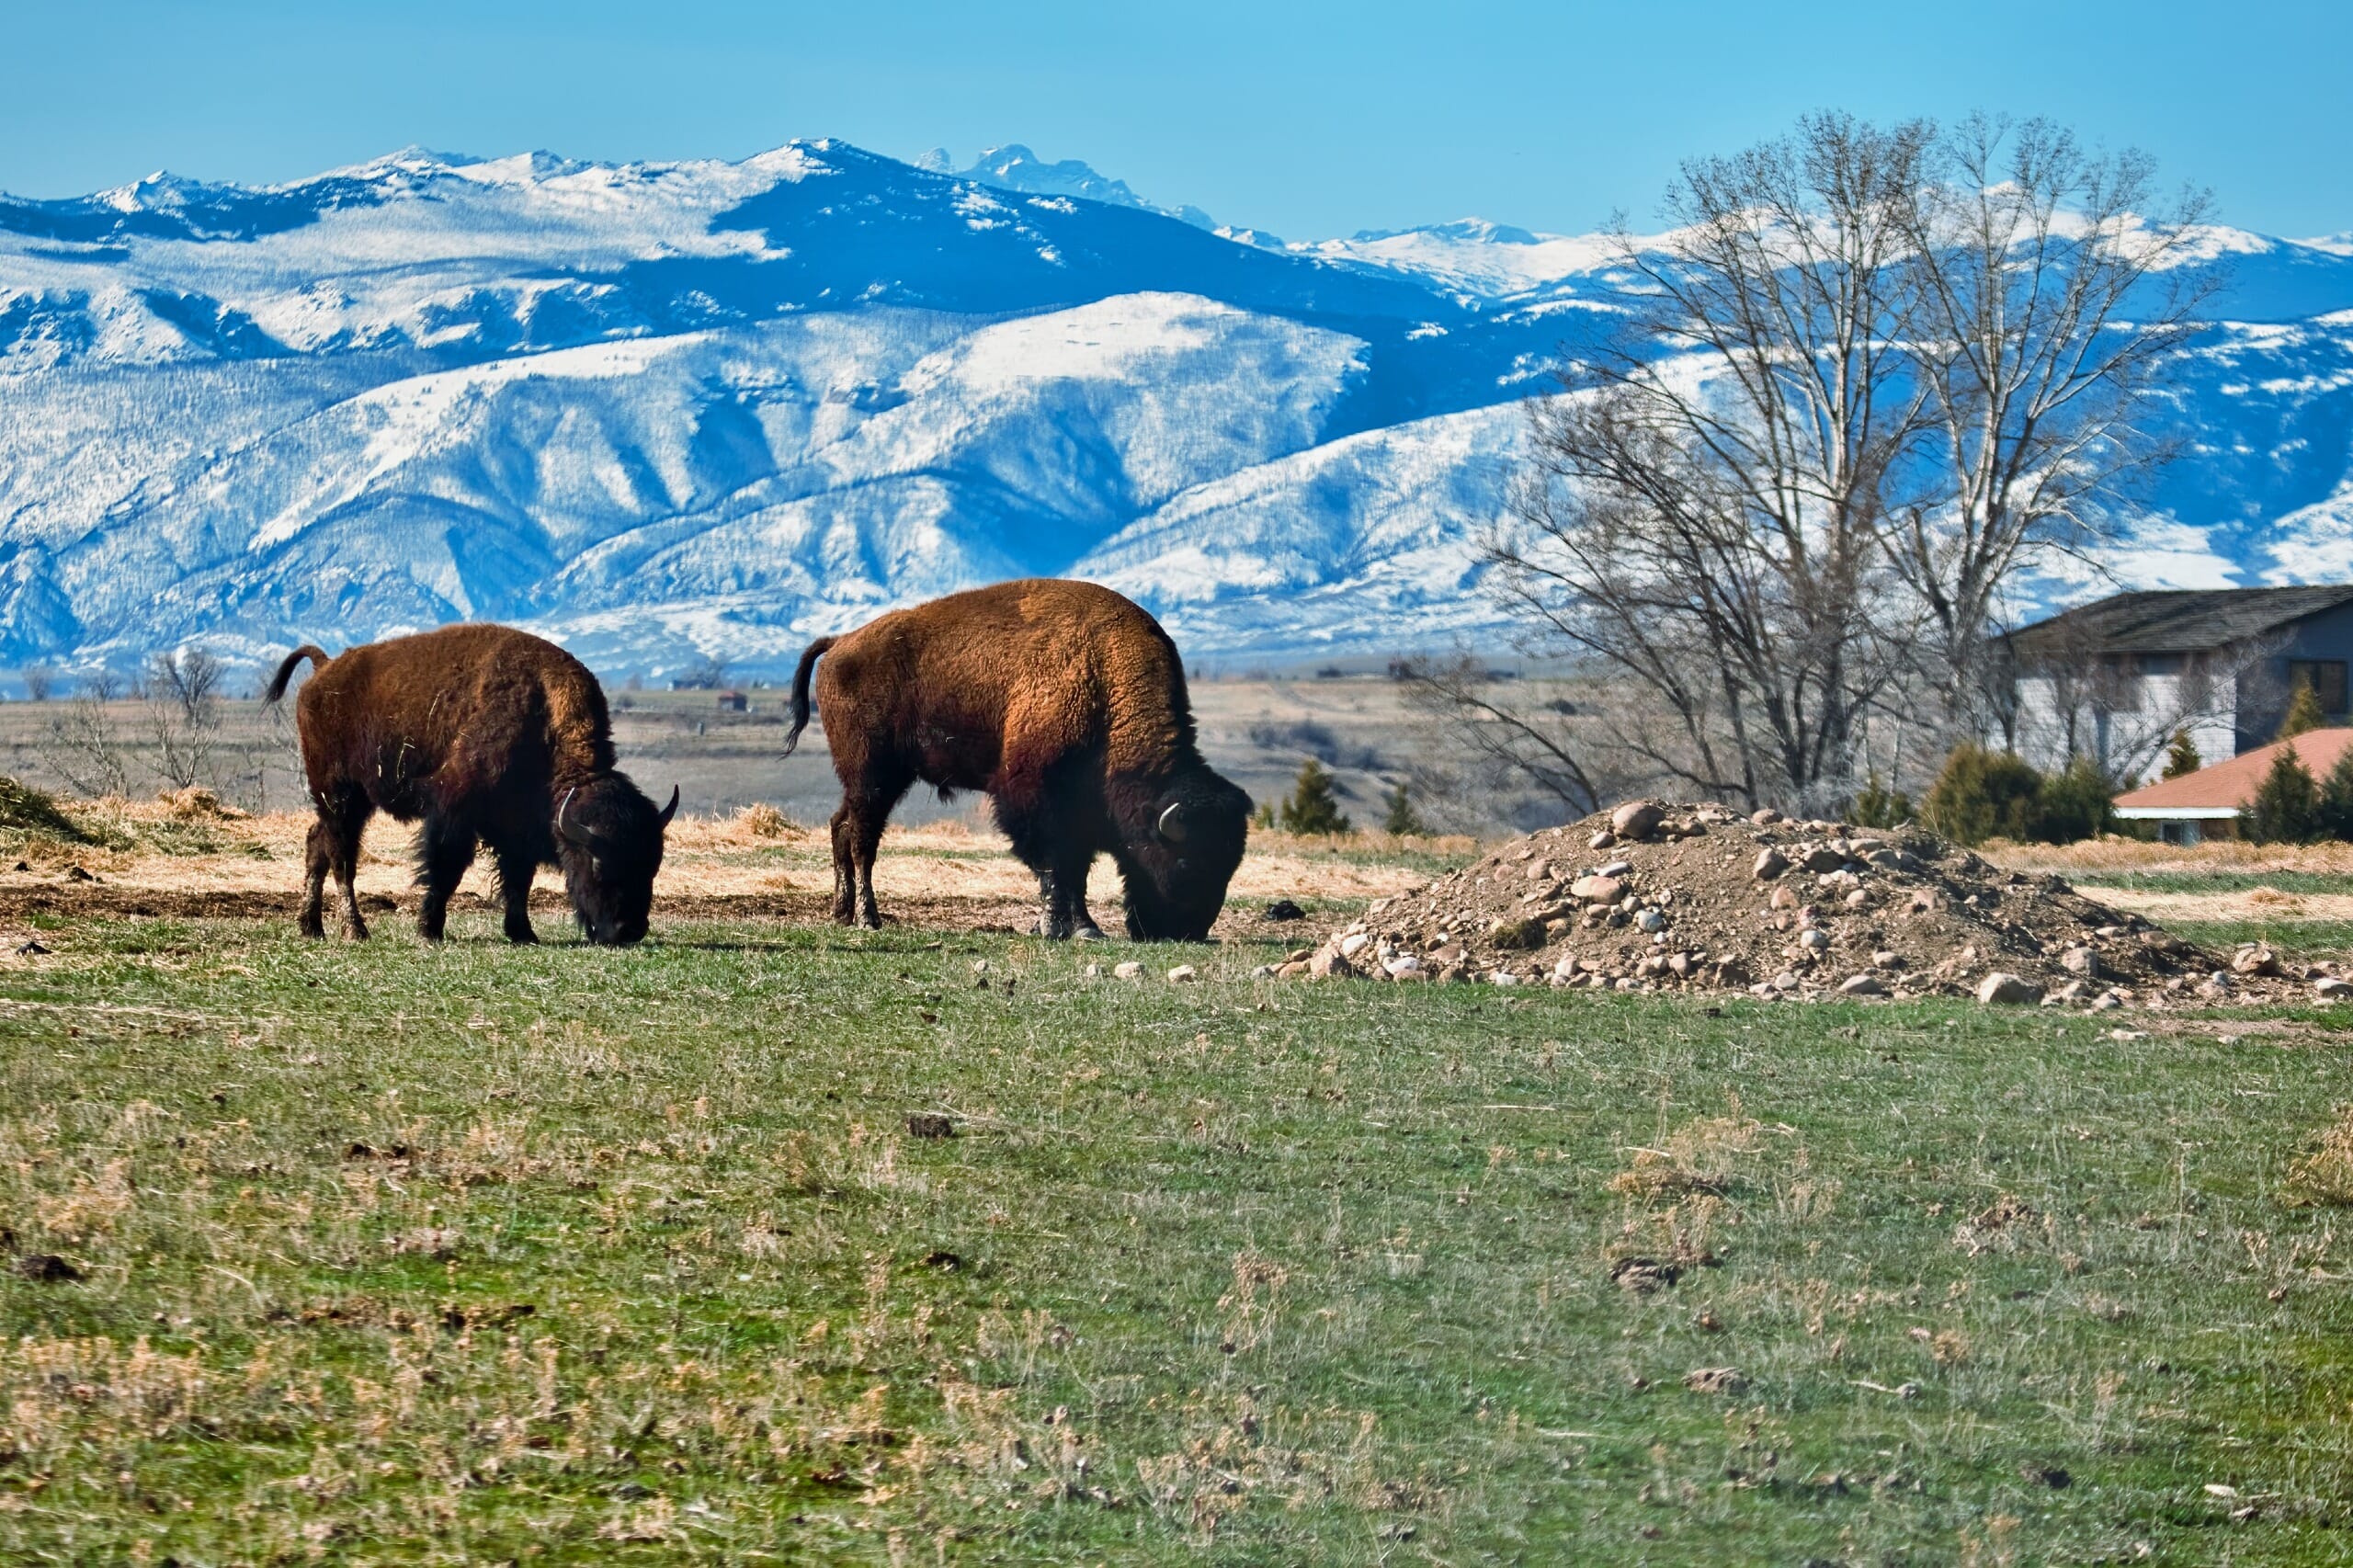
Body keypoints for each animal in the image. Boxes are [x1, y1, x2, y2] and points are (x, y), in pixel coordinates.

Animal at [265, 624, 677, 946]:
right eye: (598, 865)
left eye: (652, 864)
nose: (629, 931)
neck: (543, 712)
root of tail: (325, 669)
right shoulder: (453, 809)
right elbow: (447, 868)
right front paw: (429, 931)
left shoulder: (518, 827)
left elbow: (519, 878)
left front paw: (523, 933)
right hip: (340, 794)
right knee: (342, 858)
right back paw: (355, 931)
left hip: (348, 801)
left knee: (317, 844)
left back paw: (311, 928)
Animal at [784, 579, 1251, 940]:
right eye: (1186, 860)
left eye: (1230, 864)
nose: (1186, 931)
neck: (1104, 680)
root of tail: (840, 643)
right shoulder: (1033, 797)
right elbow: (1054, 866)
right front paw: (1058, 927)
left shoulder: (1080, 813)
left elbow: (1076, 870)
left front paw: (1083, 927)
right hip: (873, 776)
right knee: (863, 839)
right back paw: (868, 918)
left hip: (873, 780)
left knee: (840, 826)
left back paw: (842, 913)